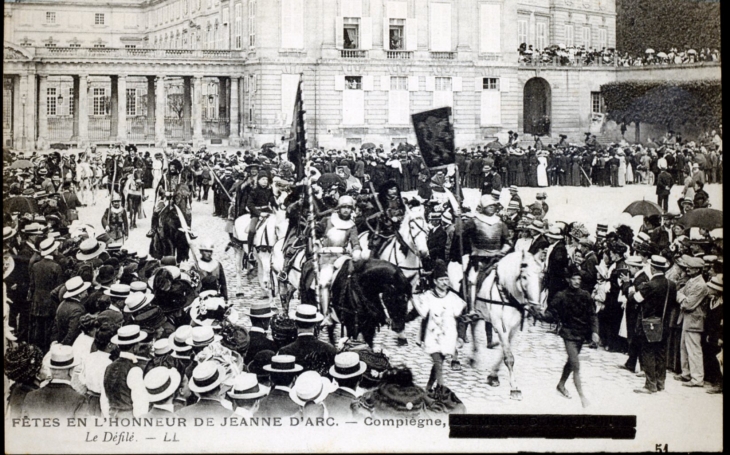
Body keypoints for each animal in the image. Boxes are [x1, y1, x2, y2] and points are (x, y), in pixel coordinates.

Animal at [466, 251, 540, 400]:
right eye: (524, 276)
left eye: (541, 276)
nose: (536, 308)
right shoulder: (500, 326)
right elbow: (509, 357)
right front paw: (514, 388)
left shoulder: (513, 329)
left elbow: (504, 354)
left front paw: (493, 376)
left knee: (473, 325)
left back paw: (474, 357)